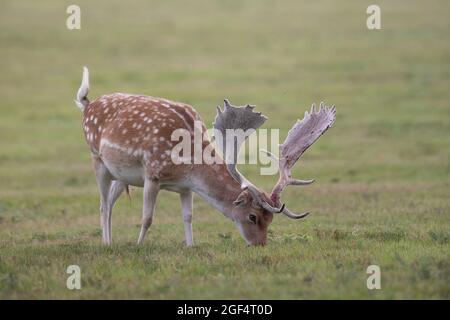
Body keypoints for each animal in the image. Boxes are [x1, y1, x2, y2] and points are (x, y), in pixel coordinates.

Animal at [74, 66, 336, 246]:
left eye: (270, 220)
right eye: (252, 216)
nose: (260, 244)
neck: (187, 165)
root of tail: (87, 104)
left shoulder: (185, 187)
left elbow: (188, 217)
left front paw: (190, 245)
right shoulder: (152, 174)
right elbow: (147, 217)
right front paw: (139, 245)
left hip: (122, 175)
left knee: (110, 202)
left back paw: (110, 240)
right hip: (97, 159)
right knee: (103, 204)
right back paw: (106, 243)